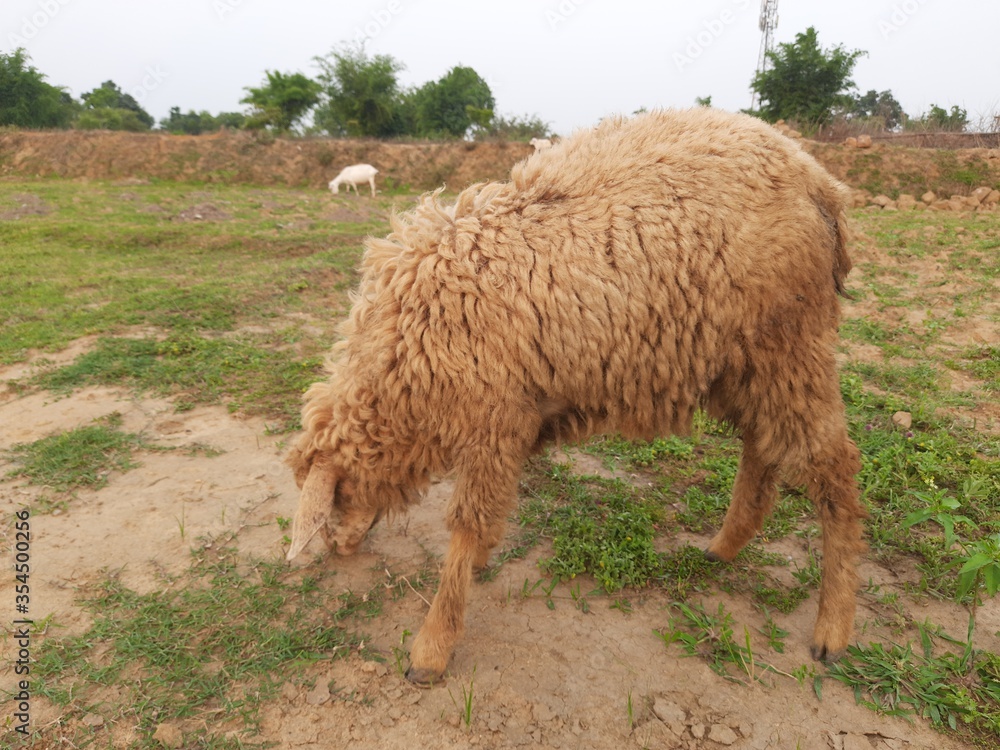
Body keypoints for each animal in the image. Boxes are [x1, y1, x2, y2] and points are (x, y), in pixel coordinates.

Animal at [286, 107, 865, 687]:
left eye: (337, 497)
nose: (339, 549)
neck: (405, 354)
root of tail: (818, 180)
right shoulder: (512, 420)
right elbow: (486, 518)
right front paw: (477, 567)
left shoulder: (496, 417)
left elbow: (468, 523)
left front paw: (432, 647)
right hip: (740, 361)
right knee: (762, 446)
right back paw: (725, 546)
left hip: (789, 342)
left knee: (833, 465)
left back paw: (834, 629)